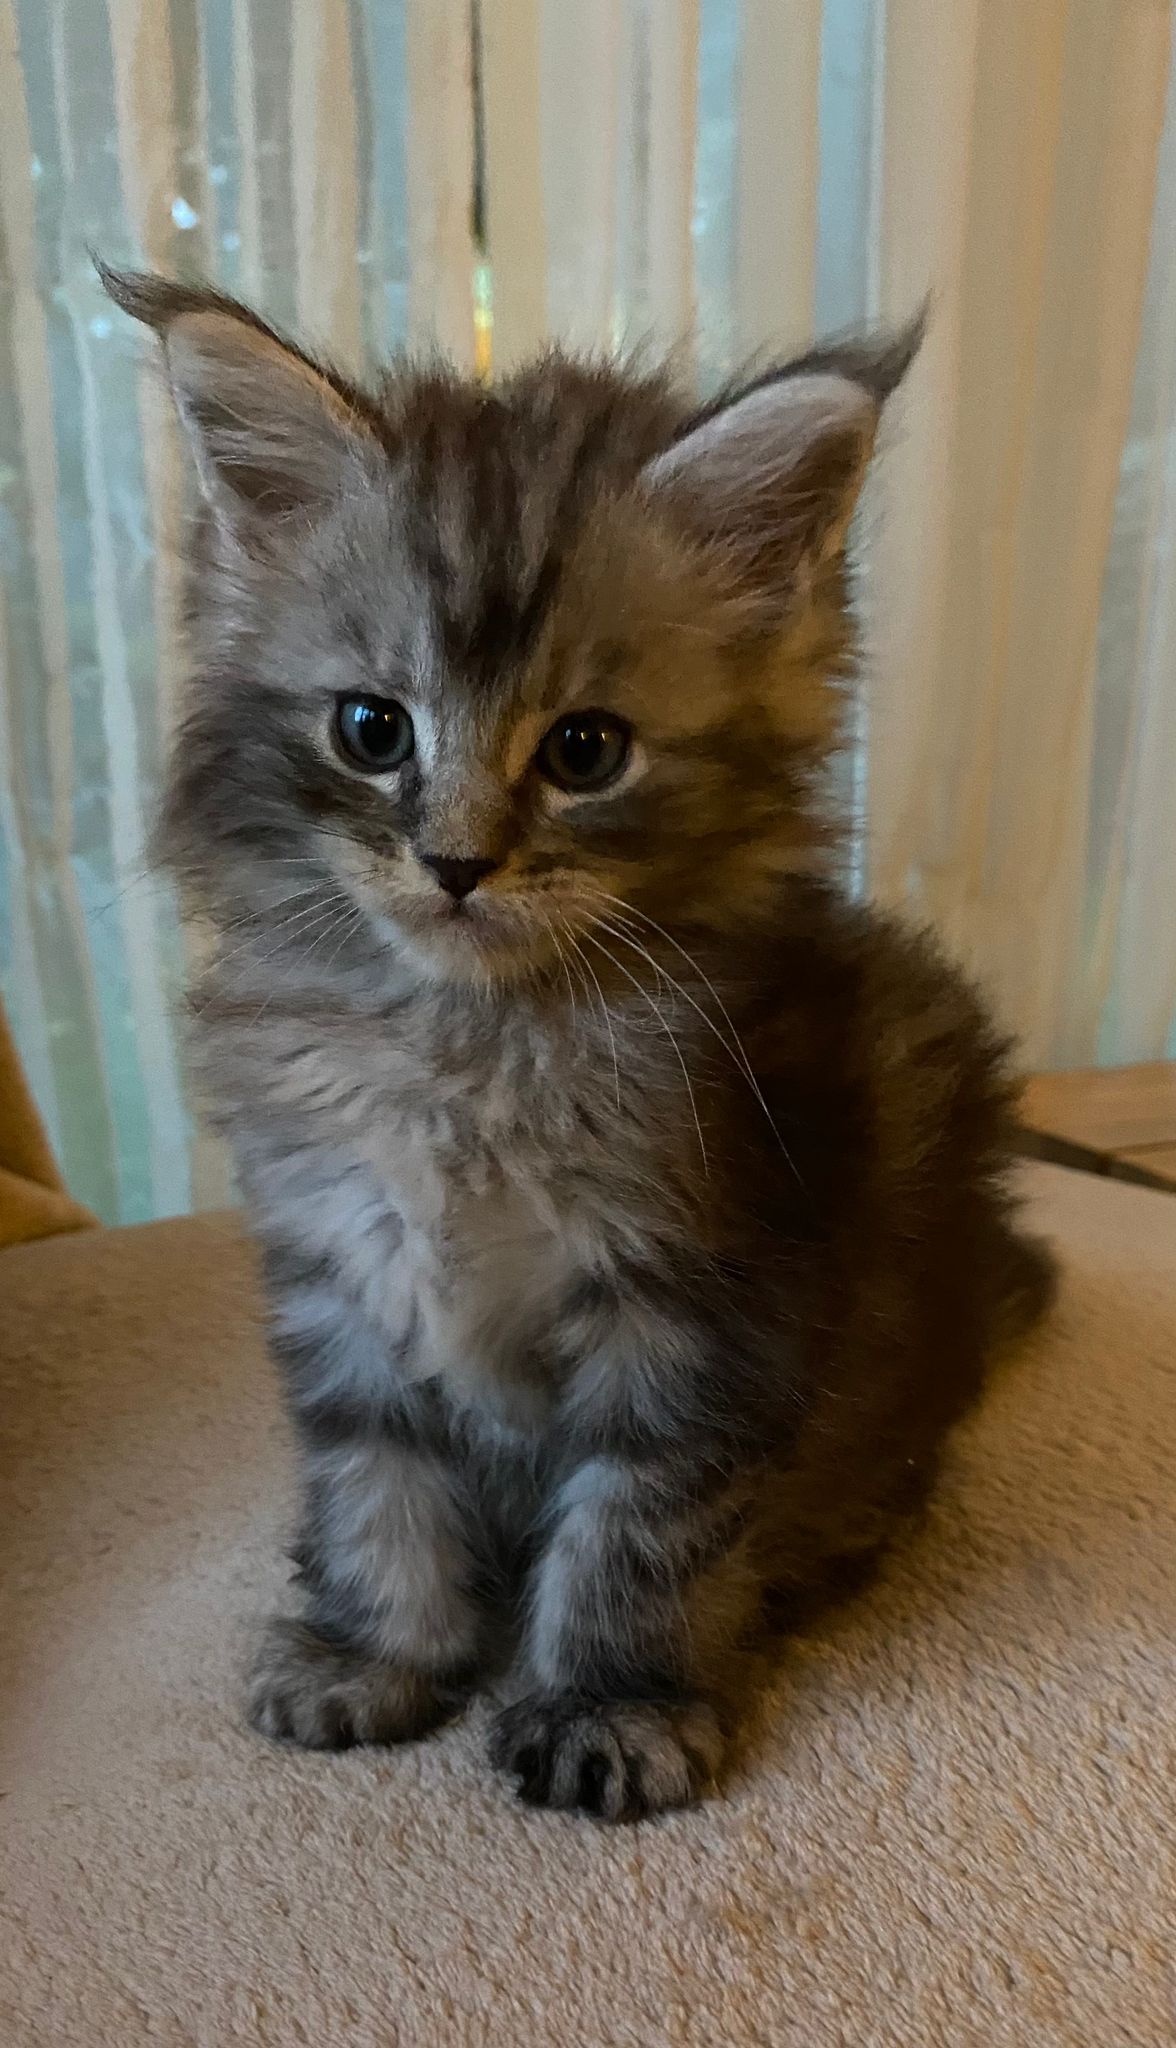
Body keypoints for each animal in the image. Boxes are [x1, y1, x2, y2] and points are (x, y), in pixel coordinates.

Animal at [103, 264, 1057, 1818]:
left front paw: (608, 1704)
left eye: (586, 751)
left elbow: (636, 1521)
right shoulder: (342, 1267)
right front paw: (376, 1649)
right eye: (372, 729)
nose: (455, 864)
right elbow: (375, 1479)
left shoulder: (702, 1295)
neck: (469, 1044)